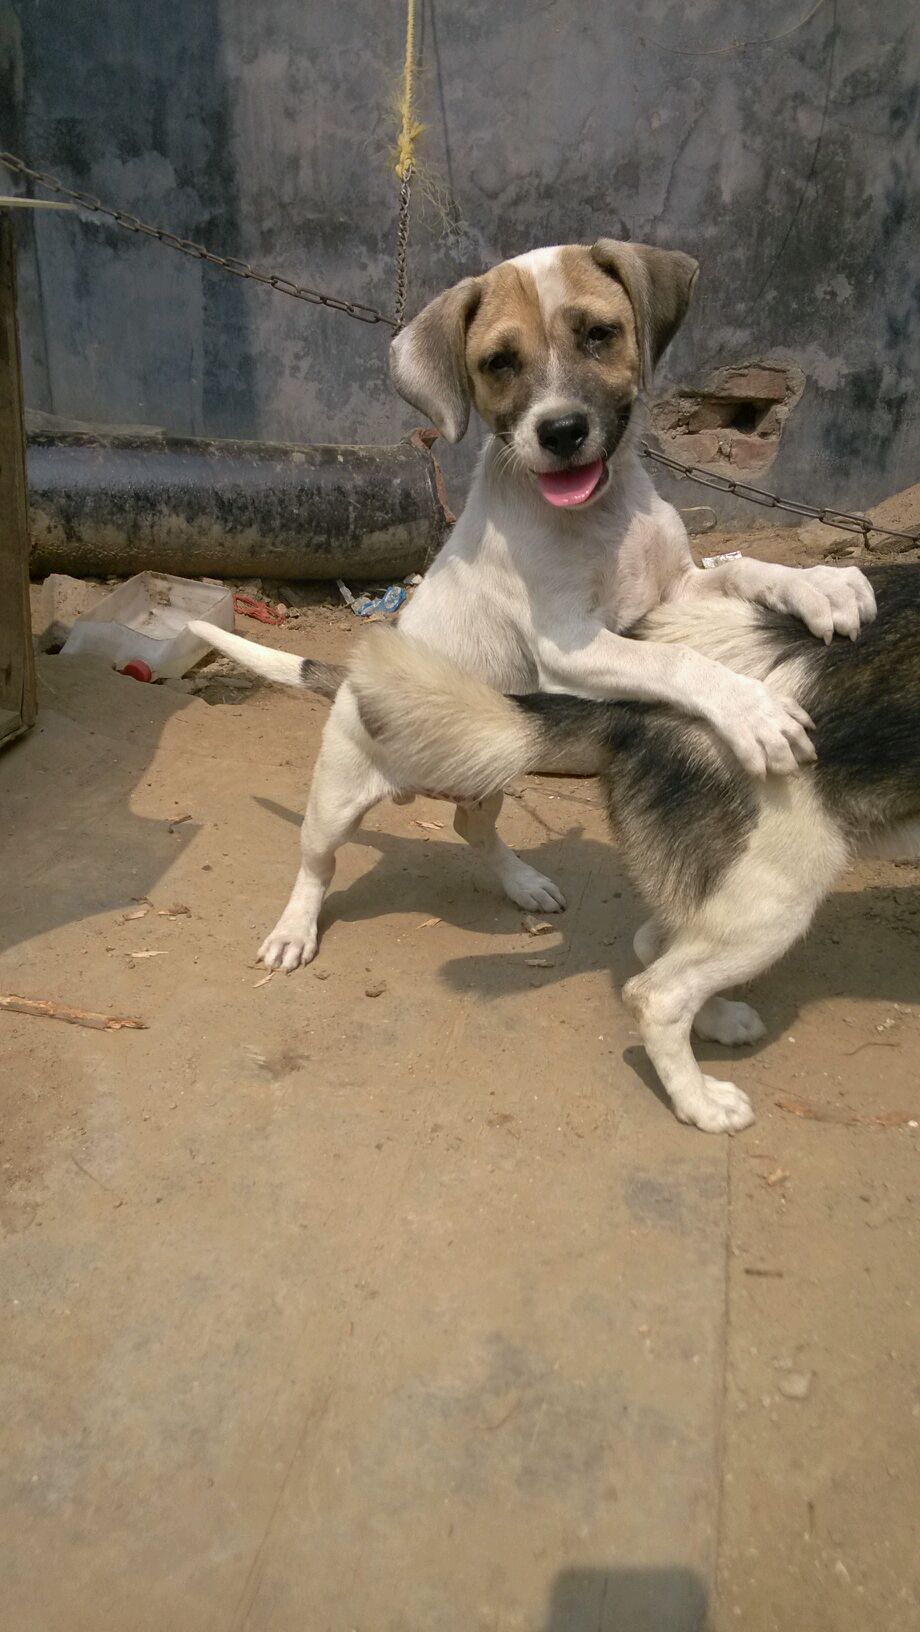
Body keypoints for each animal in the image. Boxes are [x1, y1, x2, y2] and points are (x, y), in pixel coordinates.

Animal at [190, 238, 874, 971]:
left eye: (599, 334)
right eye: (499, 363)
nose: (561, 430)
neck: (601, 515)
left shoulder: (672, 591)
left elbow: (743, 568)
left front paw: (820, 585)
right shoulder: (568, 646)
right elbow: (676, 664)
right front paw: (753, 709)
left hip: (486, 774)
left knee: (470, 825)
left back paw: (523, 882)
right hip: (337, 799)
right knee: (317, 863)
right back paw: (295, 928)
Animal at [347, 563, 920, 1133]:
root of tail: (633, 708)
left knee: (655, 944)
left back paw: (718, 1021)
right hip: (777, 893)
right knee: (655, 993)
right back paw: (700, 1102)